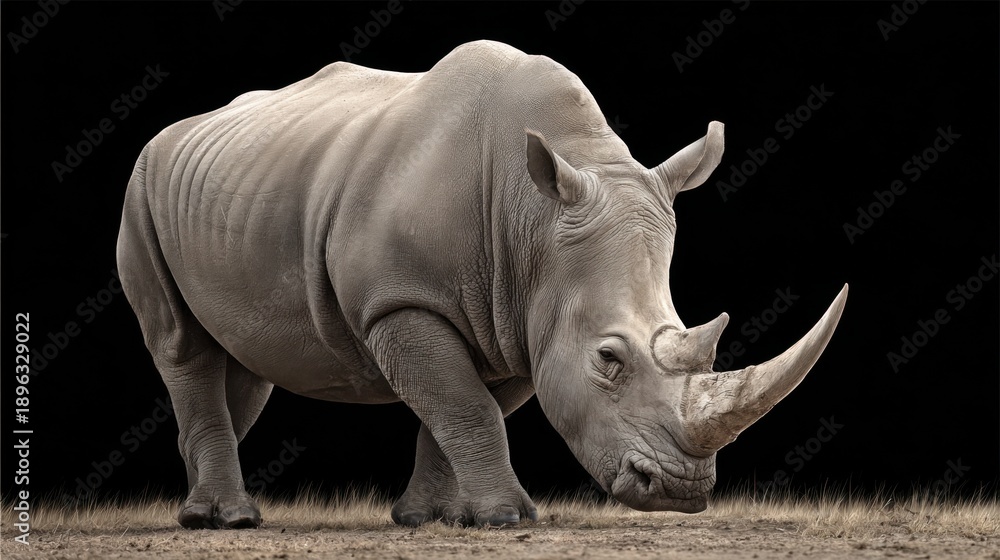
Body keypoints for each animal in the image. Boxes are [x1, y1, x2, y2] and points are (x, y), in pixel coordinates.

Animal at [116, 40, 847, 529]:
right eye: (608, 360)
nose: (680, 490)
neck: (536, 222)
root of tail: (179, 131)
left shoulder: (524, 318)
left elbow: (462, 406)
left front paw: (430, 518)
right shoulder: (399, 302)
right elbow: (464, 405)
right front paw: (508, 518)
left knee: (240, 362)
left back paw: (199, 507)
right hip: (141, 188)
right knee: (182, 345)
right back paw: (226, 520)